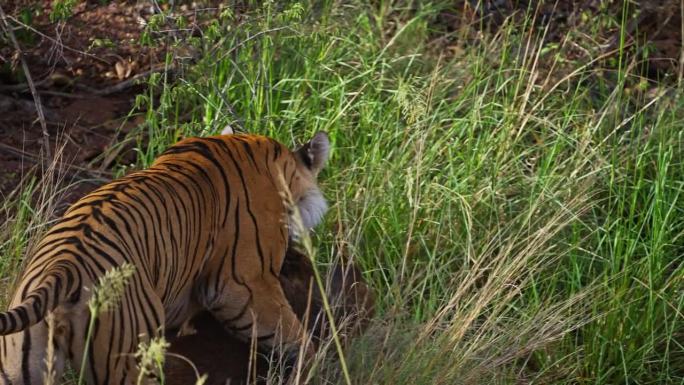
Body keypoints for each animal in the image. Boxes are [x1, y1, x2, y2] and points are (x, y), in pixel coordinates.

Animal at [0, 130, 332, 384]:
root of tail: (62, 267)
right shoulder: (244, 286)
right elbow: (291, 334)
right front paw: (312, 367)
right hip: (131, 362)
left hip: (18, 369)